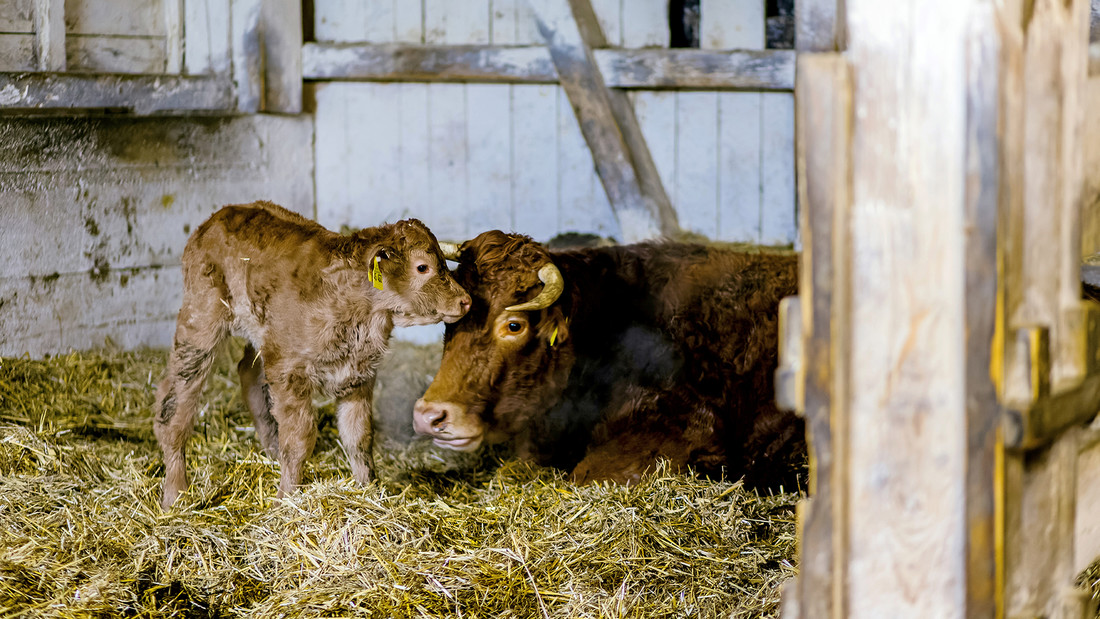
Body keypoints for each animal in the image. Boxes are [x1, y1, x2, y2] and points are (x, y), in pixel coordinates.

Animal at [152, 203, 470, 507]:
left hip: (260, 334)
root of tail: (218, 216)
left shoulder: (358, 375)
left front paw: (368, 489)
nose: (466, 300)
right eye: (422, 267)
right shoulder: (288, 371)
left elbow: (359, 437)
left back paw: (270, 449)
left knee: (247, 371)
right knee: (176, 400)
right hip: (201, 319)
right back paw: (174, 493)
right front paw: (287, 498)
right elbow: (299, 439)